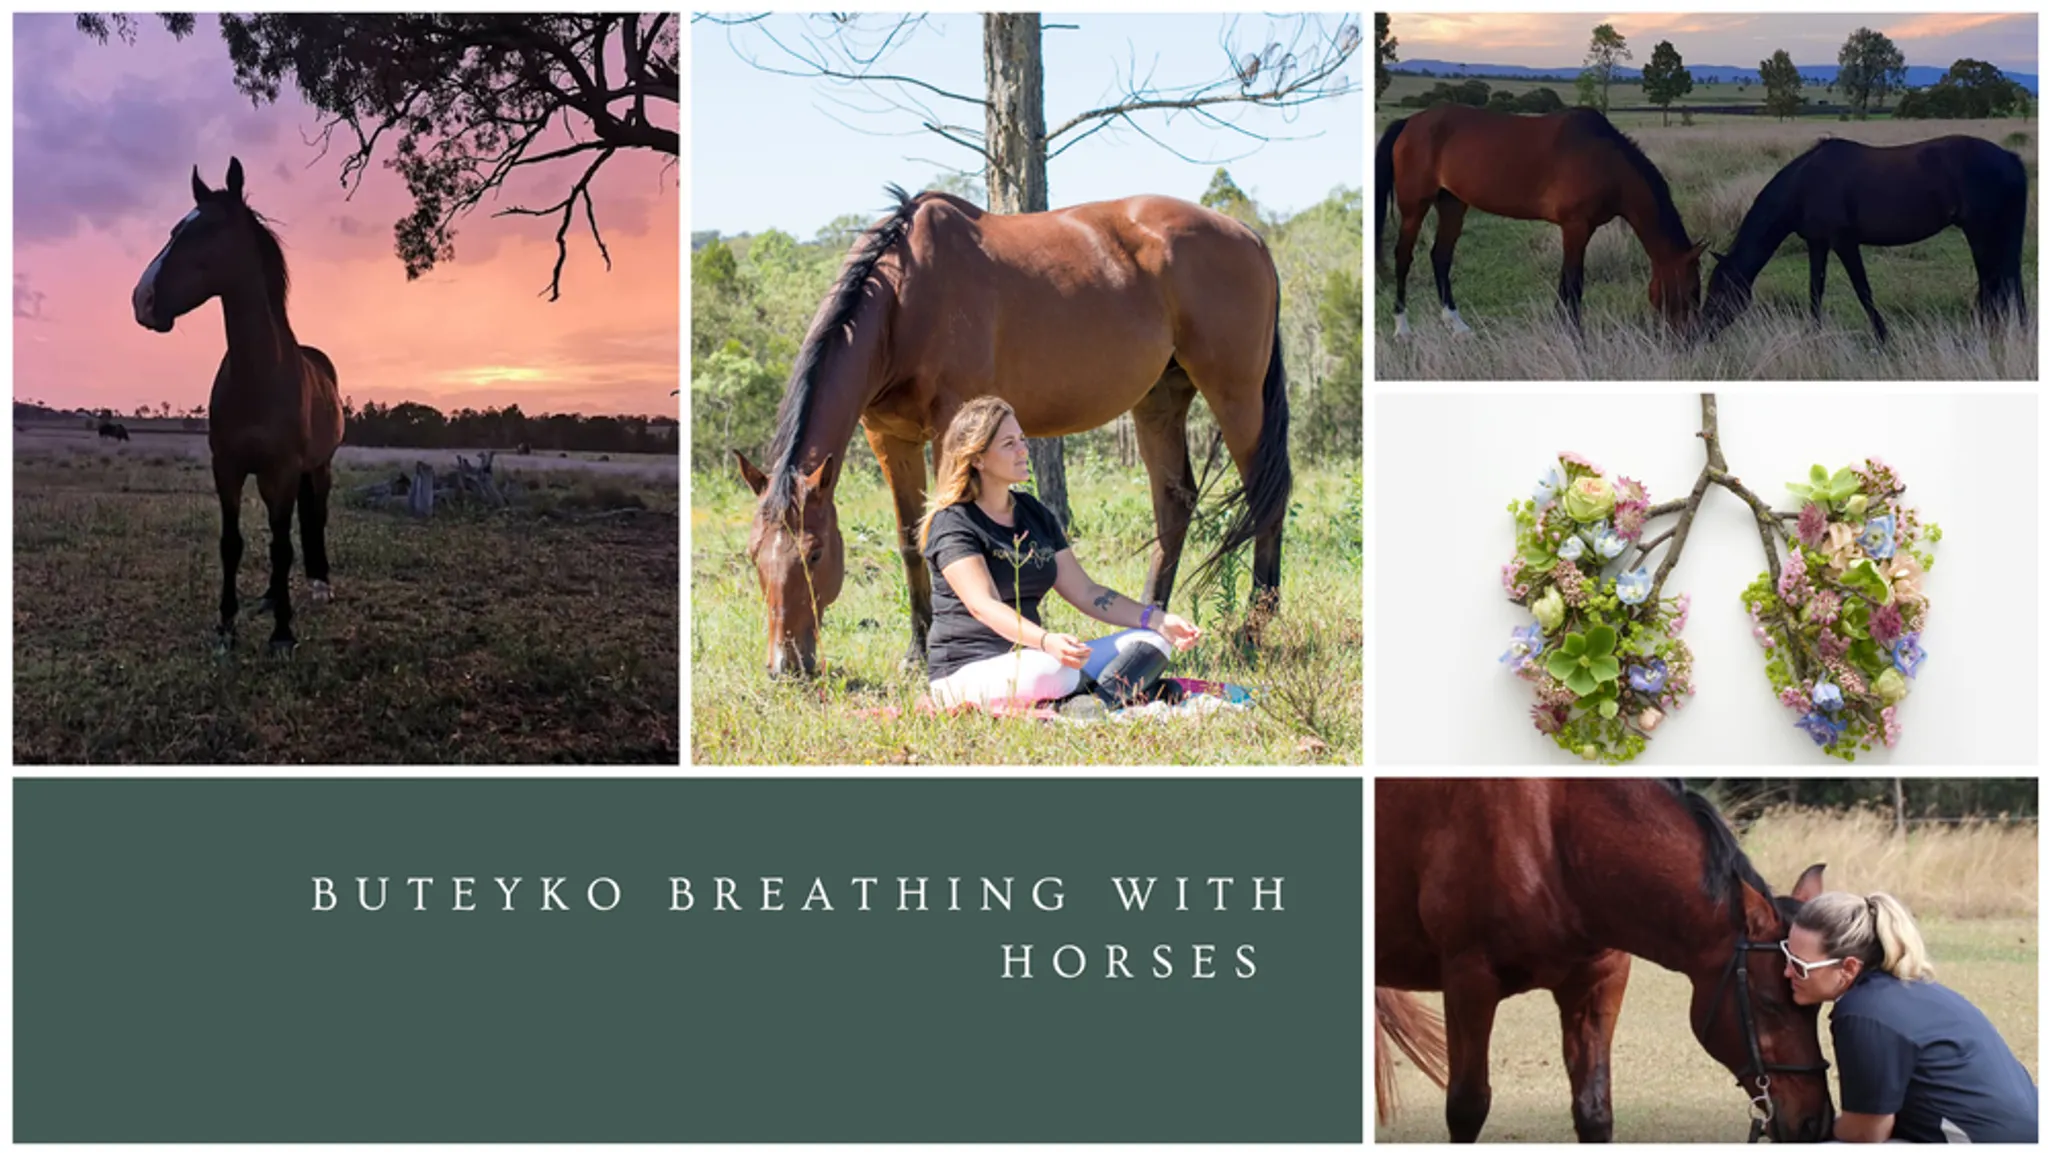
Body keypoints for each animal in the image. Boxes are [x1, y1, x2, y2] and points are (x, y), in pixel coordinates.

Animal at [130, 157, 344, 655]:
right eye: (175, 229)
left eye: (207, 230)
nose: (142, 300)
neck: (259, 375)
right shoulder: (227, 468)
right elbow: (234, 542)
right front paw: (226, 626)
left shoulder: (282, 470)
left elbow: (284, 546)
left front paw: (283, 634)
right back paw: (270, 595)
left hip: (317, 468)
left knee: (314, 518)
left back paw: (318, 584)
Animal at [733, 186, 1291, 678]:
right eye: (754, 555)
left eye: (815, 554)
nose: (786, 666)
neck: (904, 301)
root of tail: (1249, 235)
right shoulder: (889, 438)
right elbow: (911, 541)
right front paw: (917, 651)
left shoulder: (952, 425)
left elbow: (934, 527)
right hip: (1160, 398)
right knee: (1174, 500)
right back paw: (1153, 620)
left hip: (1235, 393)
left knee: (1267, 496)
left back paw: (1253, 629)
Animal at [1376, 104, 1707, 336]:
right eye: (1690, 290)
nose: (1689, 338)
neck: (1606, 161)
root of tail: (1409, 123)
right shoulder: (1576, 227)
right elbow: (1574, 283)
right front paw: (1574, 335)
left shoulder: (1577, 231)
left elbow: (1565, 282)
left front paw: (1562, 328)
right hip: (1414, 207)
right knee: (1403, 257)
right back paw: (1402, 328)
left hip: (1452, 204)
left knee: (1441, 257)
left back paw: (1457, 325)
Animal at [1376, 779, 1835, 1143]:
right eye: (1769, 1003)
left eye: (1814, 1008)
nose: (1816, 1124)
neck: (1556, 838)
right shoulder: (1468, 980)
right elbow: (1467, 1107)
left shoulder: (1597, 984)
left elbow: (1593, 1111)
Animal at [1700, 135, 2028, 343]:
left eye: (1718, 292)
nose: (1701, 333)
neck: (1804, 184)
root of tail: (2010, 159)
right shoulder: (1818, 244)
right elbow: (1815, 290)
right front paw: (1813, 335)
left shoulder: (1844, 242)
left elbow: (1863, 290)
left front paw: (1883, 338)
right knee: (2006, 279)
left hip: (1981, 231)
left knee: (1993, 280)